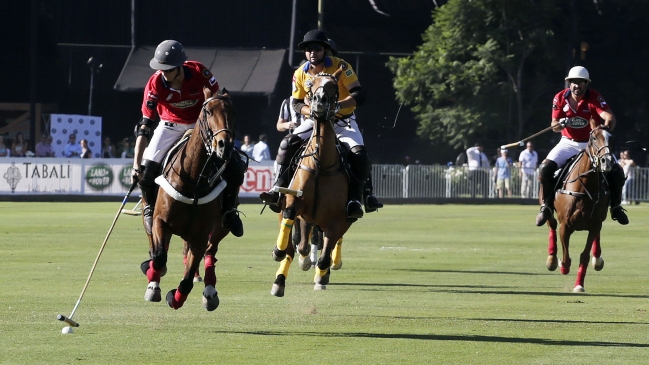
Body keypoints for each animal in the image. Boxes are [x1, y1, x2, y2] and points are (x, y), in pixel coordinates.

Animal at [142, 87, 238, 308]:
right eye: (207, 112)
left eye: (233, 113)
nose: (224, 146)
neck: (194, 181)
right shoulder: (161, 222)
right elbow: (159, 257)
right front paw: (152, 281)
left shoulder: (200, 236)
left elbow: (186, 279)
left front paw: (175, 298)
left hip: (220, 227)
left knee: (211, 252)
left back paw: (210, 291)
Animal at [268, 68, 350, 296]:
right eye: (311, 85)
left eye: (333, 85)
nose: (319, 102)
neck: (320, 164)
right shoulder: (293, 203)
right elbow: (292, 235)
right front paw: (279, 254)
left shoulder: (337, 220)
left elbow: (325, 250)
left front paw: (322, 276)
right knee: (298, 243)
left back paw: (328, 266)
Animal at [544, 126, 612, 292]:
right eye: (594, 138)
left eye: (611, 137)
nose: (607, 161)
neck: (585, 186)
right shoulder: (565, 226)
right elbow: (566, 259)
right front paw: (561, 266)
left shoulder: (594, 225)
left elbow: (584, 256)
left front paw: (579, 285)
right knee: (551, 223)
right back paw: (552, 260)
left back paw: (597, 259)